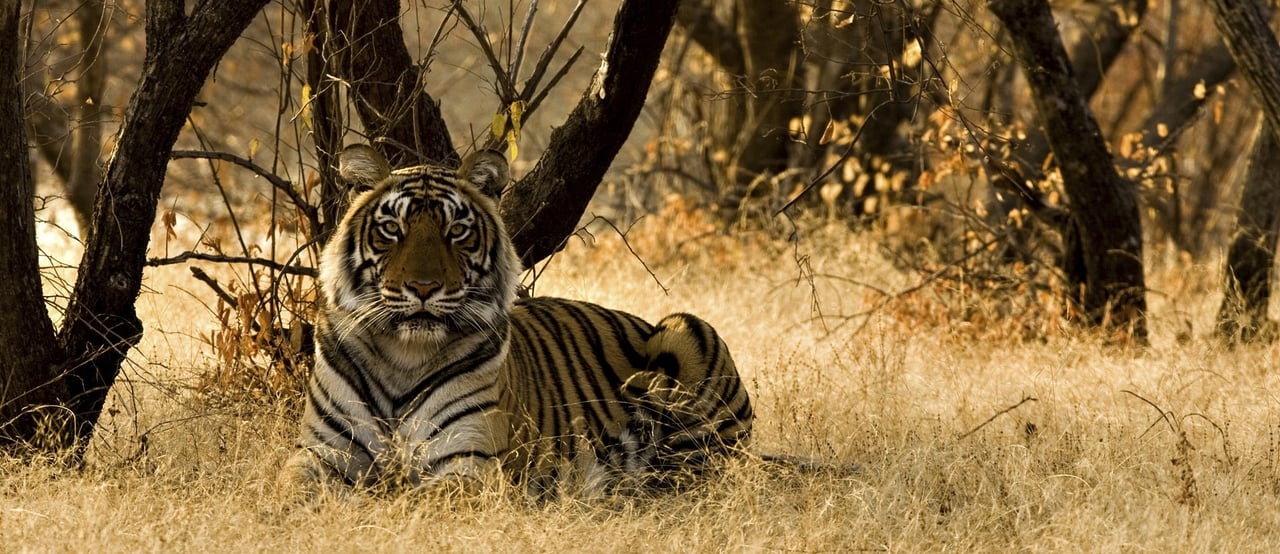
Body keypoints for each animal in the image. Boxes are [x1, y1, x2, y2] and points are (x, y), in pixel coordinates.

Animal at [282, 143, 747, 496]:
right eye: (392, 229)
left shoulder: (468, 461)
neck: (404, 355)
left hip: (688, 332)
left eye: (456, 231)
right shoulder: (322, 452)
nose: (424, 287)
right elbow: (289, 491)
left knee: (698, 471)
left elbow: (416, 500)